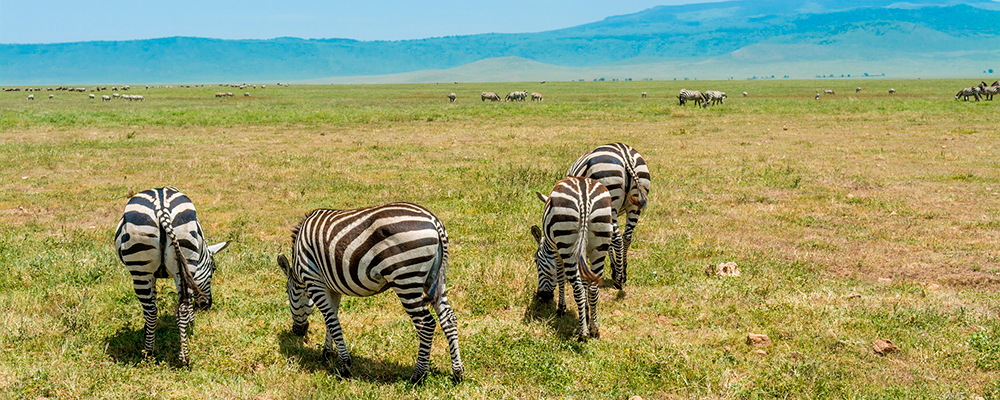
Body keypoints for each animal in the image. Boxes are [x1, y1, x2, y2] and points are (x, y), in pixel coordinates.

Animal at [112, 187, 229, 366]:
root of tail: (162, 209)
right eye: (214, 269)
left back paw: (150, 353)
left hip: (141, 268)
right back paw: (182, 357)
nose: (207, 305)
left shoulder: (156, 275)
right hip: (181, 257)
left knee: (152, 310)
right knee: (179, 307)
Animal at [278, 203, 464, 384]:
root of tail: (434, 221)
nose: (298, 331)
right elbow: (331, 319)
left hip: (405, 279)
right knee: (448, 318)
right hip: (434, 279)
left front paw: (344, 365)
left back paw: (418, 376)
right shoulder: (332, 287)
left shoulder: (314, 280)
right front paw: (327, 353)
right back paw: (457, 373)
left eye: (287, 292)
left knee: (426, 324)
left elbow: (331, 321)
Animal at [532, 177, 608, 342]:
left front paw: (561, 308)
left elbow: (561, 278)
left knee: (577, 288)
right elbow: (585, 280)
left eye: (536, 260)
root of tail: (585, 197)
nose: (541, 295)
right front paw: (585, 311)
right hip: (599, 243)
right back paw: (594, 330)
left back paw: (582, 334)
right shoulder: (583, 251)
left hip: (566, 241)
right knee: (594, 288)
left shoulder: (556, 251)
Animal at [568, 144, 652, 290]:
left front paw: (614, 269)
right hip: (635, 205)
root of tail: (625, 154)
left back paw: (618, 279)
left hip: (610, 198)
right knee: (626, 237)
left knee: (617, 239)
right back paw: (623, 272)